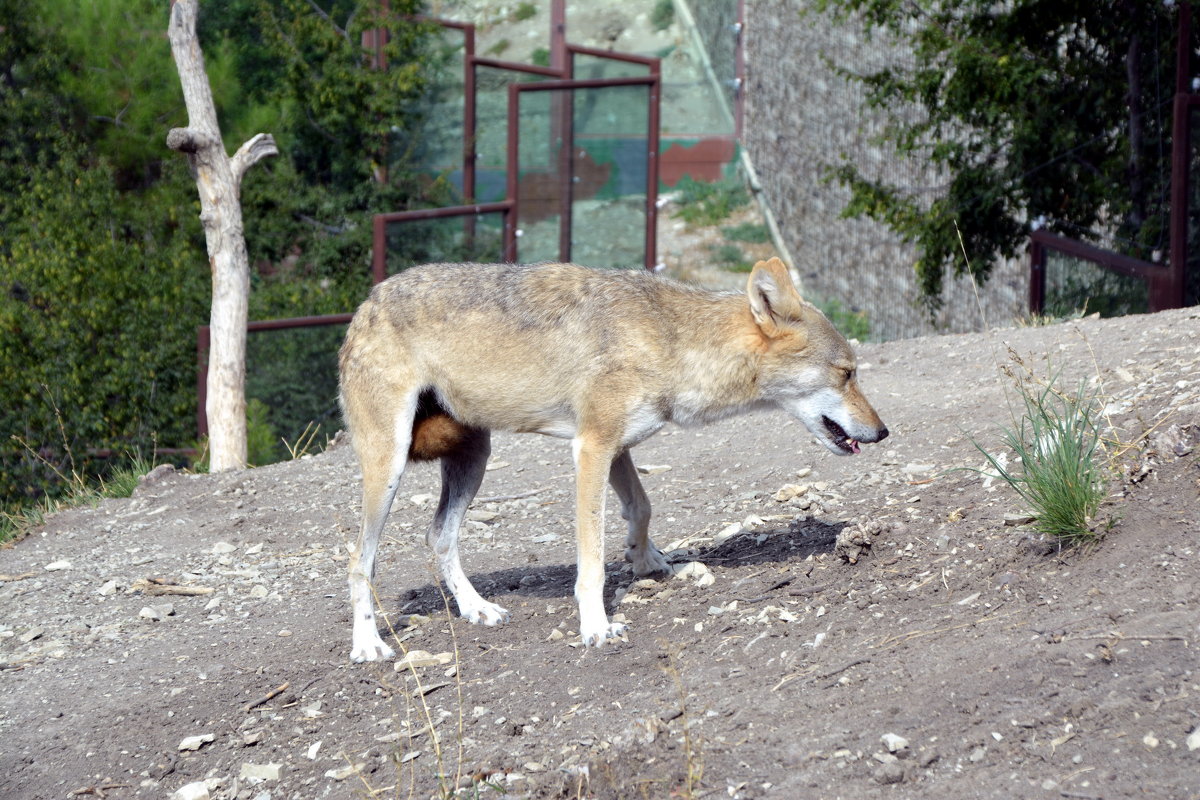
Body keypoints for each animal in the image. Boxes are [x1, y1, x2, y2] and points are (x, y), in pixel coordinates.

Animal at [336, 257, 883, 662]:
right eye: (846, 373)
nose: (882, 432)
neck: (670, 340)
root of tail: (366, 303)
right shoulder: (591, 447)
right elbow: (593, 560)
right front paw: (596, 626)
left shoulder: (617, 447)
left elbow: (641, 508)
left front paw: (650, 563)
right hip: (389, 468)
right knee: (359, 560)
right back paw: (368, 645)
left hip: (475, 456)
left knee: (439, 536)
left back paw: (477, 609)